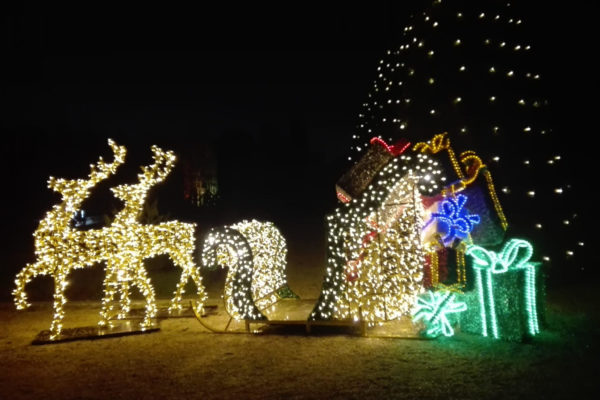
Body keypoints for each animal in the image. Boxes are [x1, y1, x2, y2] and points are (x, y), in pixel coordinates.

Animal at [13, 139, 127, 337]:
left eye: (72, 184)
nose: (53, 181)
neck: (52, 231)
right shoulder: (48, 263)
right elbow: (24, 273)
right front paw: (23, 303)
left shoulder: (60, 267)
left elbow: (58, 298)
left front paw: (54, 329)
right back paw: (107, 321)